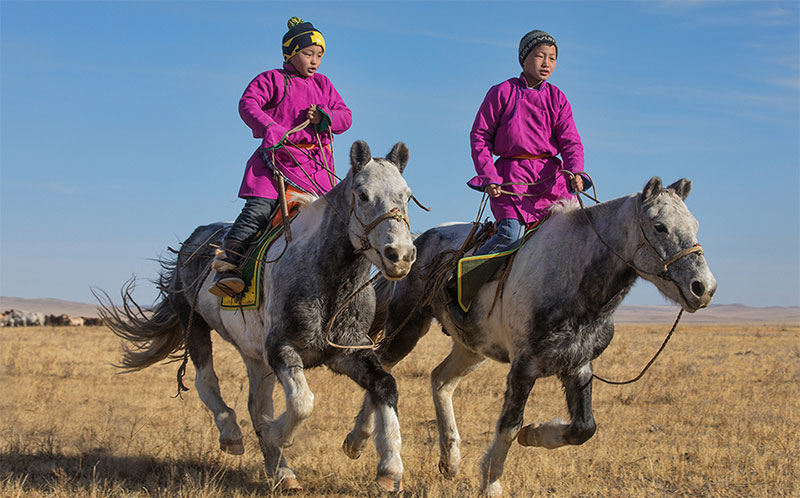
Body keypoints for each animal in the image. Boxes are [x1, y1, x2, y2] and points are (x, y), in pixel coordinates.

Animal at [98, 140, 417, 493]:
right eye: (362, 195)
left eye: (406, 196)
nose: (400, 255)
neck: (327, 278)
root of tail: (192, 241)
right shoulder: (281, 349)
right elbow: (302, 403)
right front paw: (274, 433)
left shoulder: (348, 351)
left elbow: (385, 385)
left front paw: (389, 467)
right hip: (195, 325)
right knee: (206, 382)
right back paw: (233, 436)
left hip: (255, 357)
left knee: (257, 404)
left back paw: (282, 472)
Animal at [341, 177, 717, 496]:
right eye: (660, 226)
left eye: (695, 226)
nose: (704, 288)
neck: (572, 274)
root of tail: (416, 242)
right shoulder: (524, 365)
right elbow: (508, 424)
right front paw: (491, 482)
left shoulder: (579, 366)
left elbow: (584, 428)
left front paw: (533, 434)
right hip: (407, 327)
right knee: (382, 368)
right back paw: (360, 444)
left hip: (472, 347)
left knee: (441, 380)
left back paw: (450, 459)